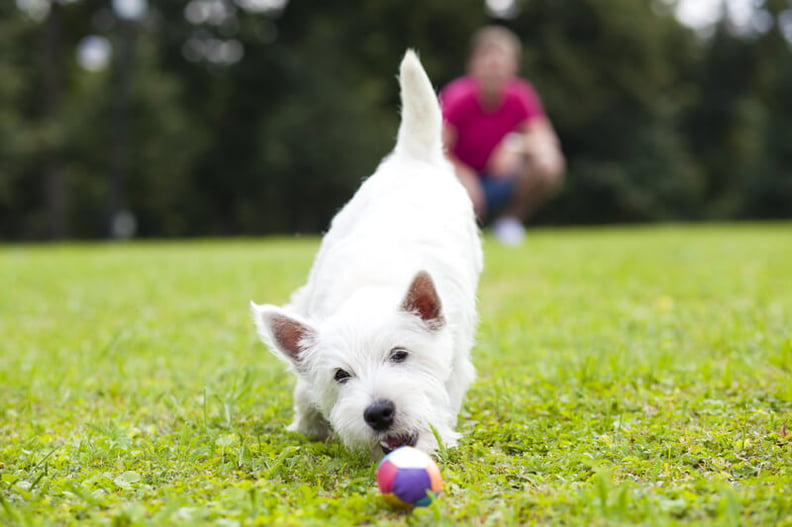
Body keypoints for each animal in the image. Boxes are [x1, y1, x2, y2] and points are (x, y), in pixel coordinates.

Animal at [251, 50, 480, 458]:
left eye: (400, 355)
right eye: (341, 375)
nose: (379, 413)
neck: (372, 288)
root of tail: (412, 157)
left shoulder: (456, 356)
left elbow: (447, 393)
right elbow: (305, 390)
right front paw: (309, 424)